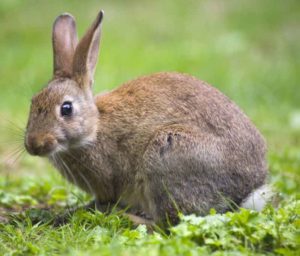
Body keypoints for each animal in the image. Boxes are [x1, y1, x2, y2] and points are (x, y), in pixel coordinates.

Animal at [23, 9, 268, 226]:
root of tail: (248, 190)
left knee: (167, 222)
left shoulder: (108, 182)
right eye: (32, 102)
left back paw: (129, 218)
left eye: (66, 109)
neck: (94, 128)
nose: (33, 145)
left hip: (166, 154)